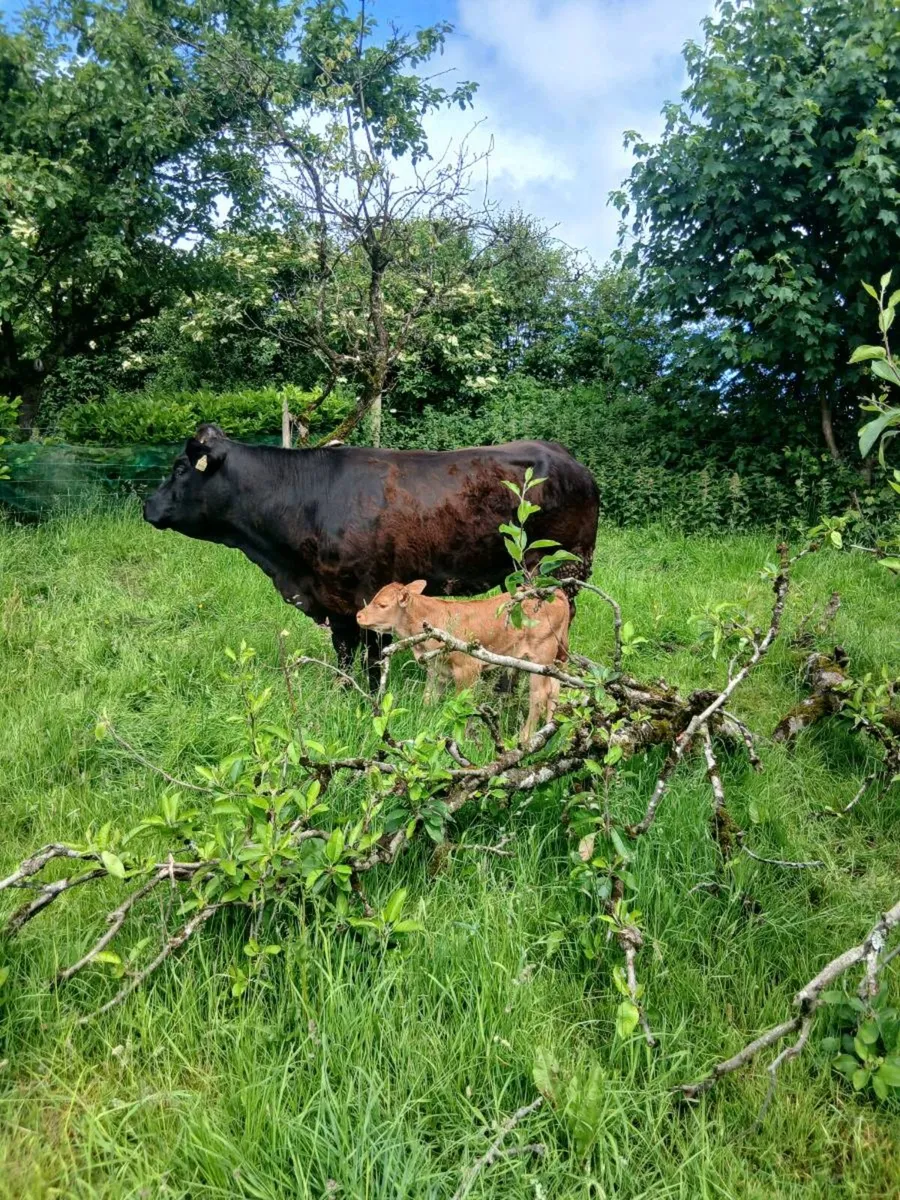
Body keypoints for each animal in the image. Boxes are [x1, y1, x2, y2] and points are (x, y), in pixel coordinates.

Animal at [142, 424, 599, 679]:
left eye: (180, 469)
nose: (147, 504)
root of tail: (565, 456)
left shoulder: (370, 593)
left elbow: (373, 660)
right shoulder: (335, 603)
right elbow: (345, 656)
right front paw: (344, 693)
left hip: (563, 568)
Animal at [357, 581, 570, 738]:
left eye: (382, 604)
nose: (358, 615)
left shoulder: (467, 667)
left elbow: (463, 704)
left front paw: (464, 736)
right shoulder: (436, 669)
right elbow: (429, 699)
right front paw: (424, 724)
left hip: (540, 657)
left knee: (540, 696)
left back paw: (525, 738)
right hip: (555, 660)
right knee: (555, 690)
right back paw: (552, 731)